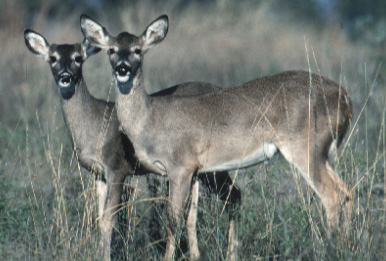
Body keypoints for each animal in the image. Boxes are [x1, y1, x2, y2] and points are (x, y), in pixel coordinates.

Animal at [80, 14, 352, 260]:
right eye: (111, 50)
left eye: (137, 50)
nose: (122, 69)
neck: (151, 119)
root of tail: (344, 98)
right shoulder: (195, 171)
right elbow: (189, 219)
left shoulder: (180, 167)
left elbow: (172, 221)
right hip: (320, 153)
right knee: (346, 192)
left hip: (305, 147)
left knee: (332, 196)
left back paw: (330, 250)